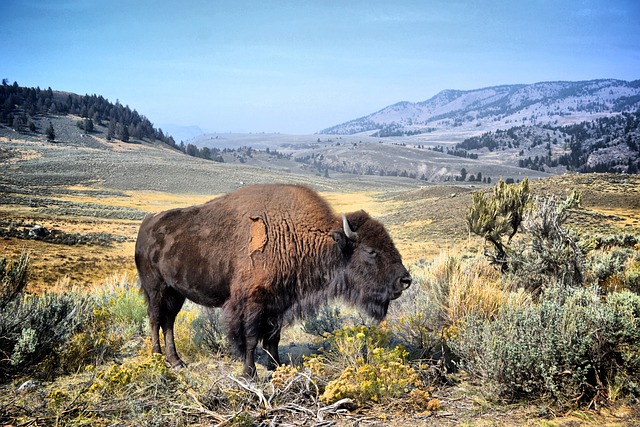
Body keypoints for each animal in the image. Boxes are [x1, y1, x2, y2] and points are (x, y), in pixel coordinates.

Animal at [138, 182, 412, 376]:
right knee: (155, 319)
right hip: (155, 288)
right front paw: (250, 374)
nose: (405, 280)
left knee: (168, 321)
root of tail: (147, 223)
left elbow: (273, 338)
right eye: (371, 251)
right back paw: (156, 357)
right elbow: (250, 337)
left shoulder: (278, 303)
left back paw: (177, 361)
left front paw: (277, 367)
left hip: (176, 293)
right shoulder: (252, 302)